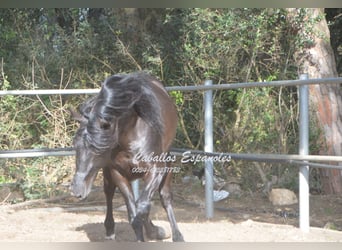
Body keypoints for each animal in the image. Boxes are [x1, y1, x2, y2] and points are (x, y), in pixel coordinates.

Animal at [69, 72, 184, 242]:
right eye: (75, 144)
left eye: (98, 148)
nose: (76, 190)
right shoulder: (118, 173)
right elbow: (134, 213)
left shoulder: (156, 169)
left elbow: (142, 208)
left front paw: (157, 232)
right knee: (109, 193)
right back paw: (111, 230)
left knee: (164, 197)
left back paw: (174, 234)